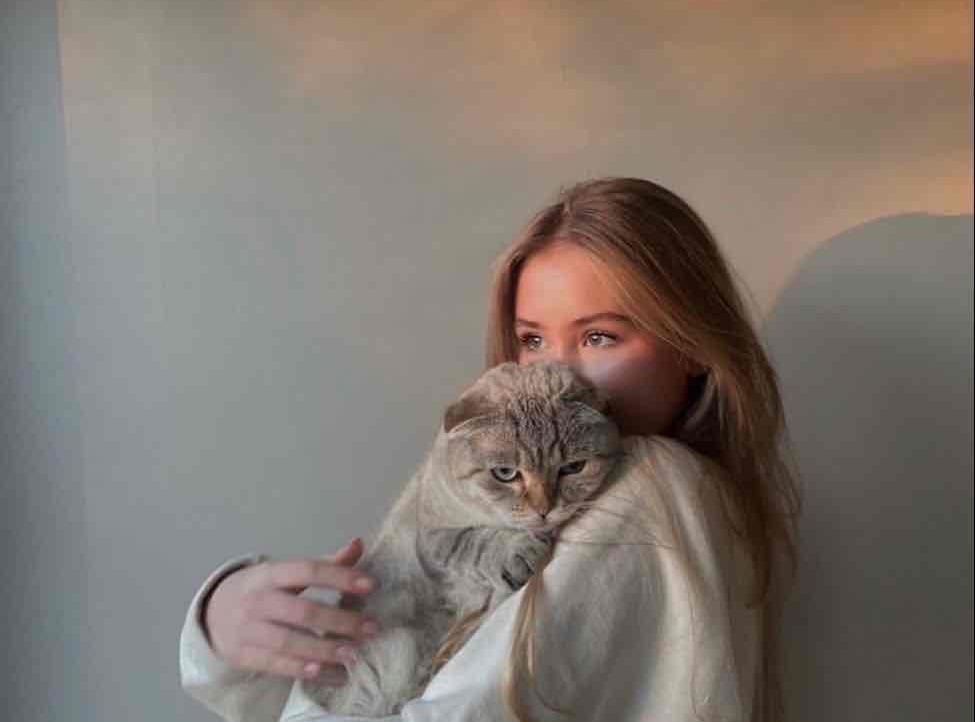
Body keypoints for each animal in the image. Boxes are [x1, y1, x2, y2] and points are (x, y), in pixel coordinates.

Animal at [301, 359, 624, 716]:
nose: (544, 509)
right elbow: (477, 542)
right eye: (505, 473)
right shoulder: (434, 538)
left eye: (573, 468)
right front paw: (519, 550)